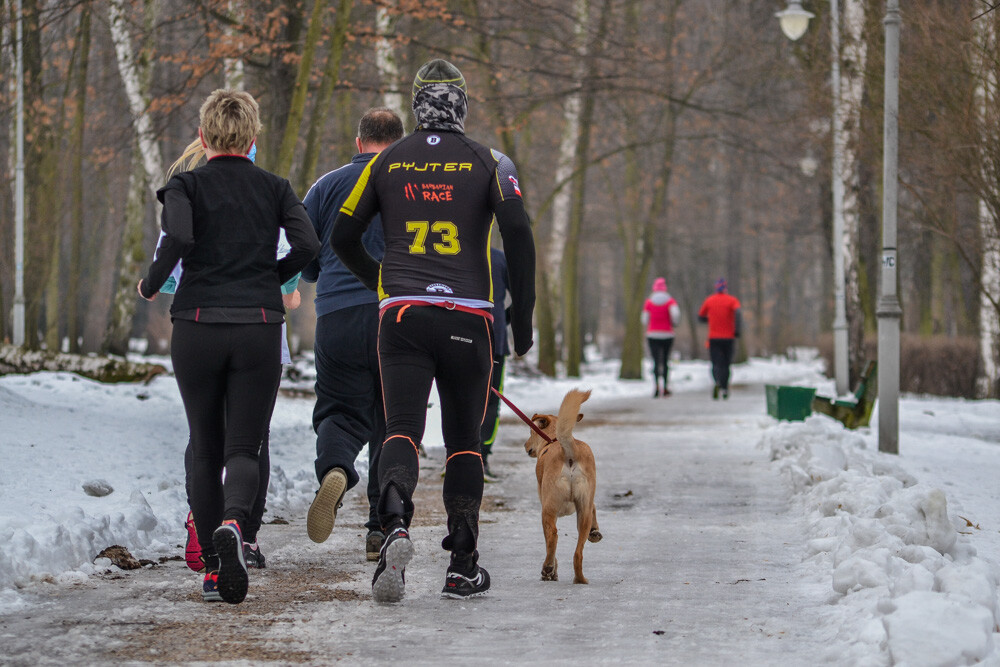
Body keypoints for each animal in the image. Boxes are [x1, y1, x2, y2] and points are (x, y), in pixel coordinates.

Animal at [524, 388, 600, 580]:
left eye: (530, 431)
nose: (525, 445)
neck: (553, 439)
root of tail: (569, 450)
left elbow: (548, 541)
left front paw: (552, 570)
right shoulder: (588, 501)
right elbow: (595, 506)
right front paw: (595, 531)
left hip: (548, 509)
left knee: (553, 537)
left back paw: (548, 568)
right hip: (583, 509)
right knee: (578, 553)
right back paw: (580, 579)